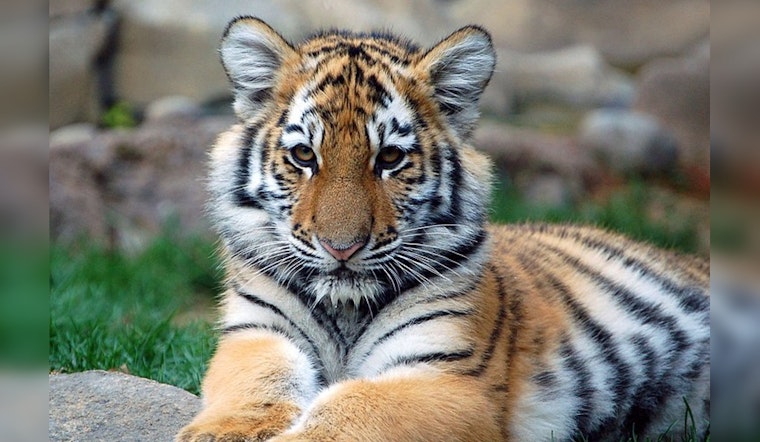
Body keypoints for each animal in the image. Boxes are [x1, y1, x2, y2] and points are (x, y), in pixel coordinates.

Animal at [177, 16, 710, 442]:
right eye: (305, 155)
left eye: (390, 158)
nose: (341, 248)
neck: (345, 308)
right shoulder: (256, 331)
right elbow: (258, 380)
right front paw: (222, 431)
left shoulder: (449, 378)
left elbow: (351, 407)